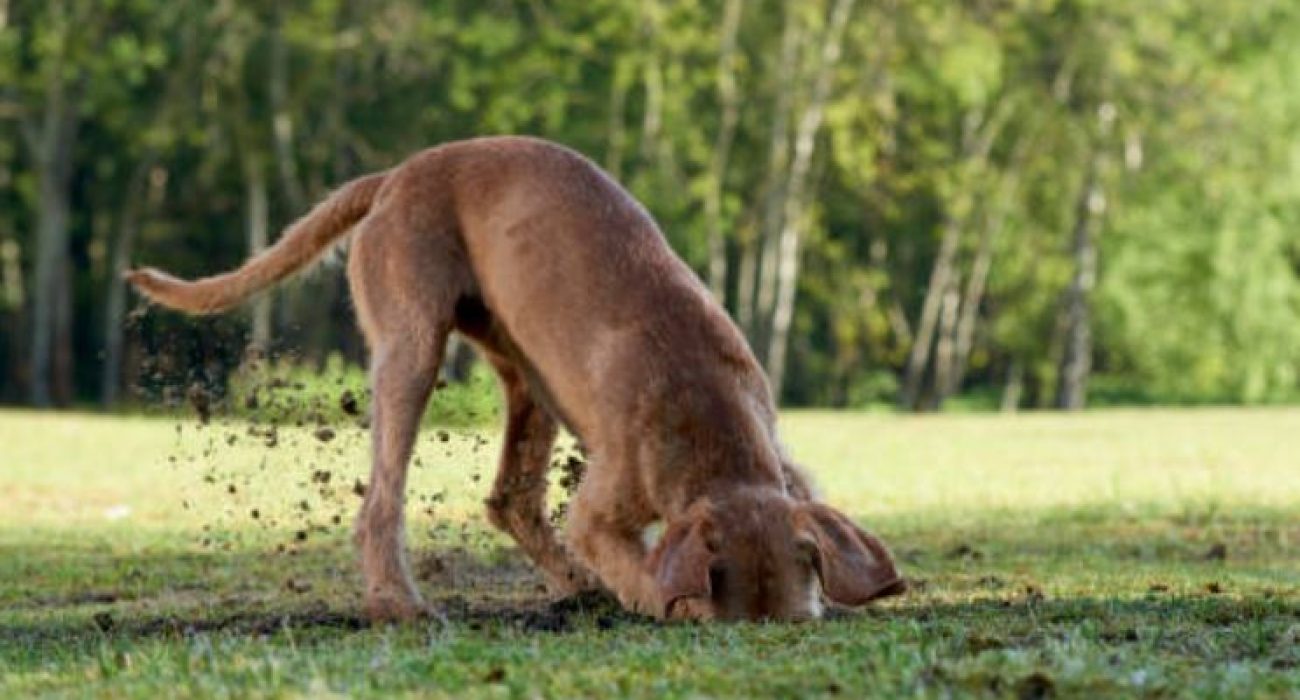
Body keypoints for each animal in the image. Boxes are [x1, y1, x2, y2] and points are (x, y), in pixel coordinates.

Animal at [131, 137, 904, 621]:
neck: (713, 430)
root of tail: (395, 175)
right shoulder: (602, 508)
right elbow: (642, 571)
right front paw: (664, 602)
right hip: (411, 346)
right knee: (382, 500)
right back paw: (399, 603)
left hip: (527, 375)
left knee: (511, 499)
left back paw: (575, 586)